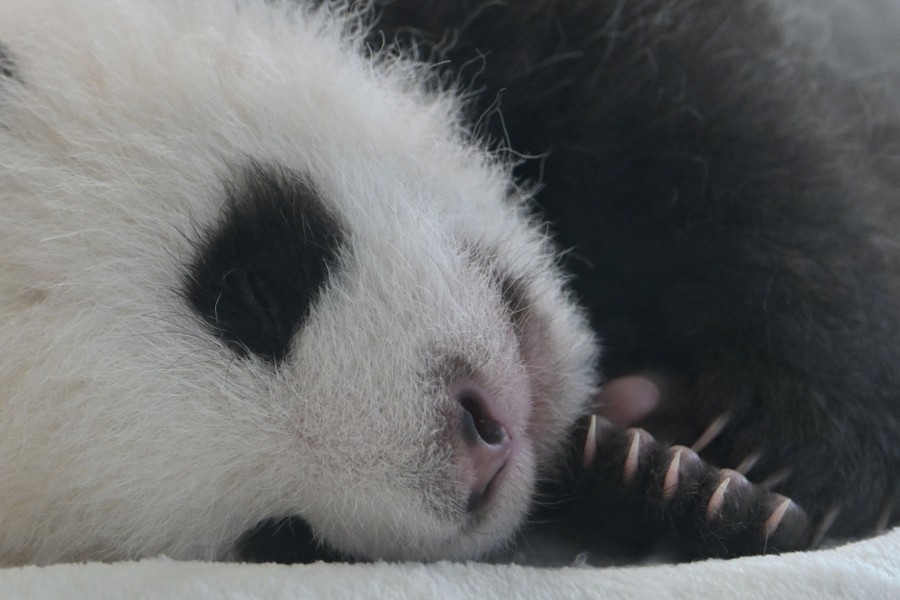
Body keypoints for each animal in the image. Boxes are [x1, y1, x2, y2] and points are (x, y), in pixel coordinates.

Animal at [0, 0, 897, 565]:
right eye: (280, 539)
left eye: (251, 290)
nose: (477, 449)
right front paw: (670, 478)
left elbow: (718, 131)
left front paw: (800, 442)